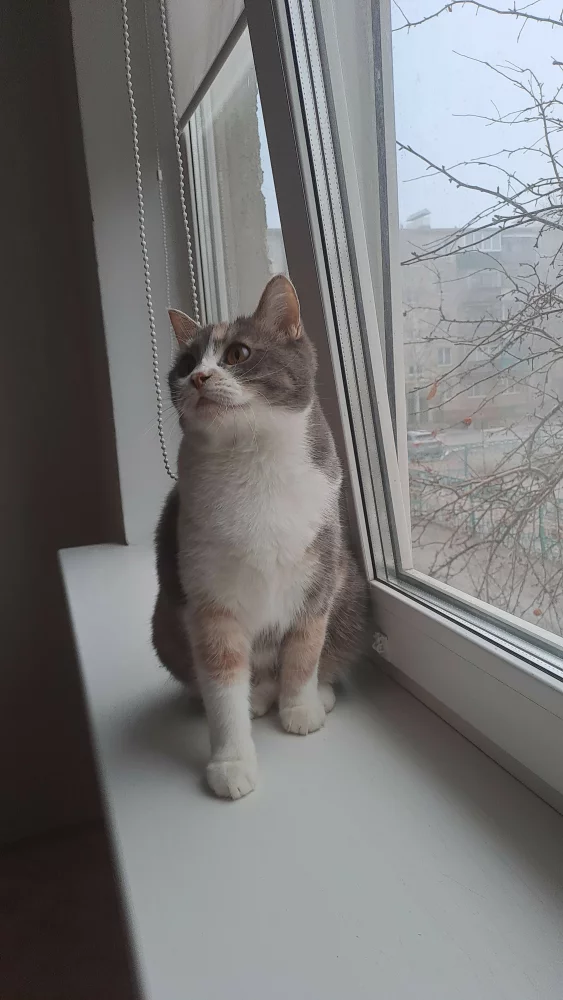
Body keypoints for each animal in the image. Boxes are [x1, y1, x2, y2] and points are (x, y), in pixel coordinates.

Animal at [152, 274, 369, 799]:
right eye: (186, 363)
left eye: (238, 354)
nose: (198, 378)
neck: (252, 463)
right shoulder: (210, 604)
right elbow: (222, 684)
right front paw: (231, 762)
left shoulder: (318, 580)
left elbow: (305, 652)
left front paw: (301, 706)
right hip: (164, 621)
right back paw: (256, 699)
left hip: (350, 592)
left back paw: (314, 694)